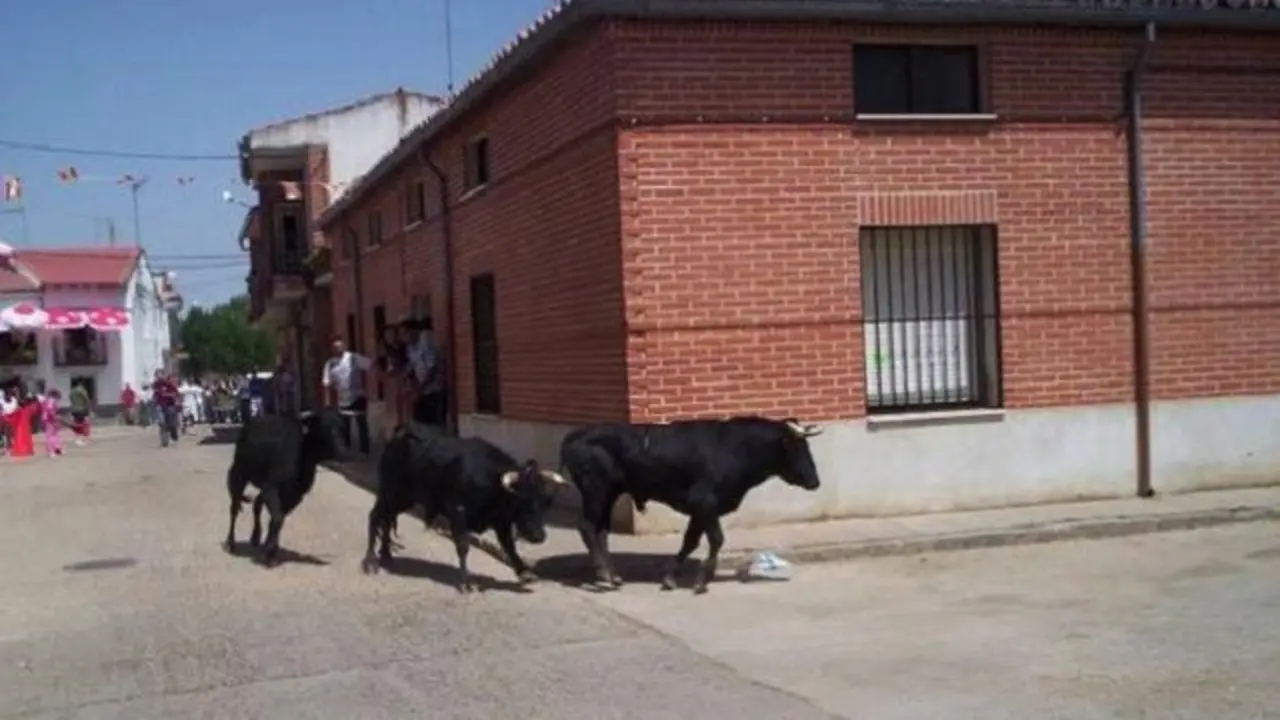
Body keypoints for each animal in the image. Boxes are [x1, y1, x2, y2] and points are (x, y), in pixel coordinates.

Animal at [222, 409, 344, 565]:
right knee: (234, 509)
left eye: (341, 427)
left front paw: (271, 550)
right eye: (324, 427)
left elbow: (278, 519)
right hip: (239, 474)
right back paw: (230, 543)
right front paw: (269, 550)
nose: (342, 451)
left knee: (256, 504)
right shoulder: (272, 488)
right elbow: (277, 519)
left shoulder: (294, 496)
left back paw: (255, 537)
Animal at [362, 426, 568, 592]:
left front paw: (524, 571)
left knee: (386, 520)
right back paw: (370, 561)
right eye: (523, 499)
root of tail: (397, 439)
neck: (491, 481)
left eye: (545, 502)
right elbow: (463, 545)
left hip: (403, 500)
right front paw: (466, 582)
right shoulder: (458, 512)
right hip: (390, 493)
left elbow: (509, 545)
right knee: (375, 516)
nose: (539, 536)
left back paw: (386, 555)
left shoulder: (501, 521)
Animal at [558, 416, 823, 594]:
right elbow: (716, 539)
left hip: (609, 494)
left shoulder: (700, 510)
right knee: (588, 527)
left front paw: (671, 578)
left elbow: (690, 541)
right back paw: (603, 575)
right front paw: (702, 580)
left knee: (601, 531)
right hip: (596, 492)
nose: (815, 481)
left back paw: (613, 576)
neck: (734, 448)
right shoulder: (705, 503)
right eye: (796, 447)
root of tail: (578, 434)